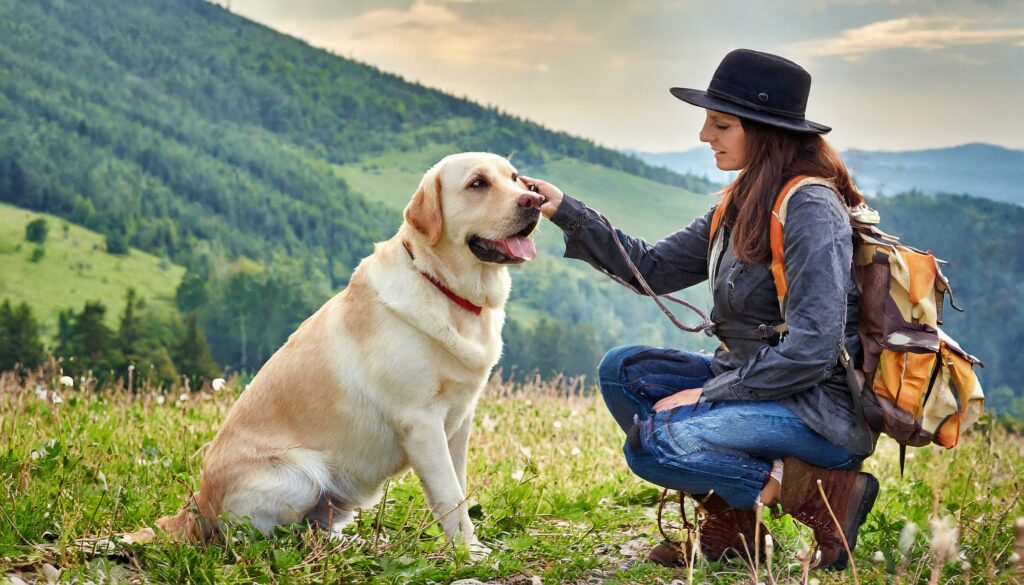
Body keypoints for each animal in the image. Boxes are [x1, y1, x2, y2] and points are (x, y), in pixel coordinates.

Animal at [149, 150, 544, 557]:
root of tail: (197, 505)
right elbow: (449, 493)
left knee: (316, 526)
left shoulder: (460, 420)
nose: (535, 200)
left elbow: (459, 488)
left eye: (516, 178)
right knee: (267, 536)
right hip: (302, 475)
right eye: (477, 183)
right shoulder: (421, 422)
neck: (444, 287)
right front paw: (469, 552)